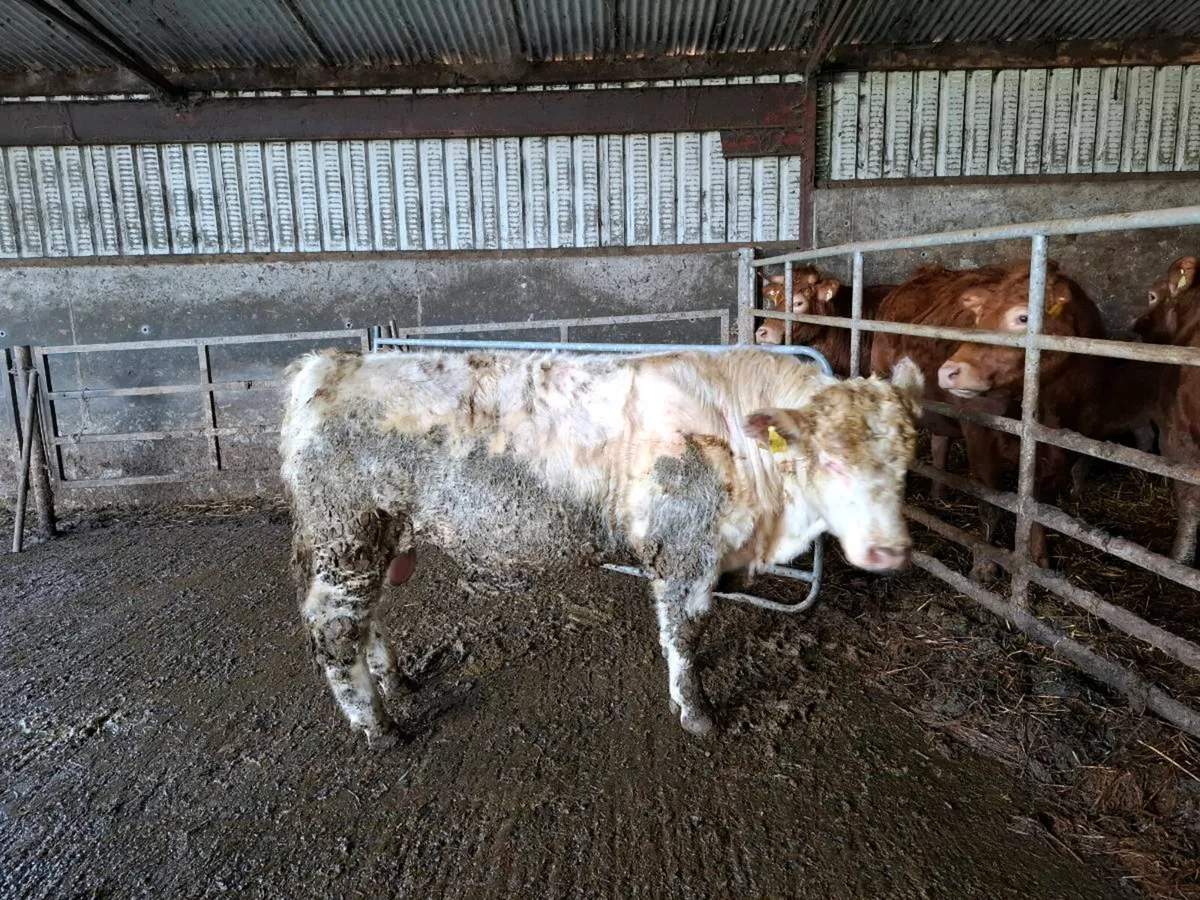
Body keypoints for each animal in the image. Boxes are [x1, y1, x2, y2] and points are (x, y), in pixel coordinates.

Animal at [280, 346, 924, 748]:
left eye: (907, 464)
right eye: (832, 461)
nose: (890, 553)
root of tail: (330, 365)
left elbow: (677, 632)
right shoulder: (686, 550)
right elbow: (686, 635)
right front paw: (696, 713)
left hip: (378, 538)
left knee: (368, 620)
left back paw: (397, 682)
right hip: (346, 535)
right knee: (335, 629)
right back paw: (381, 728)